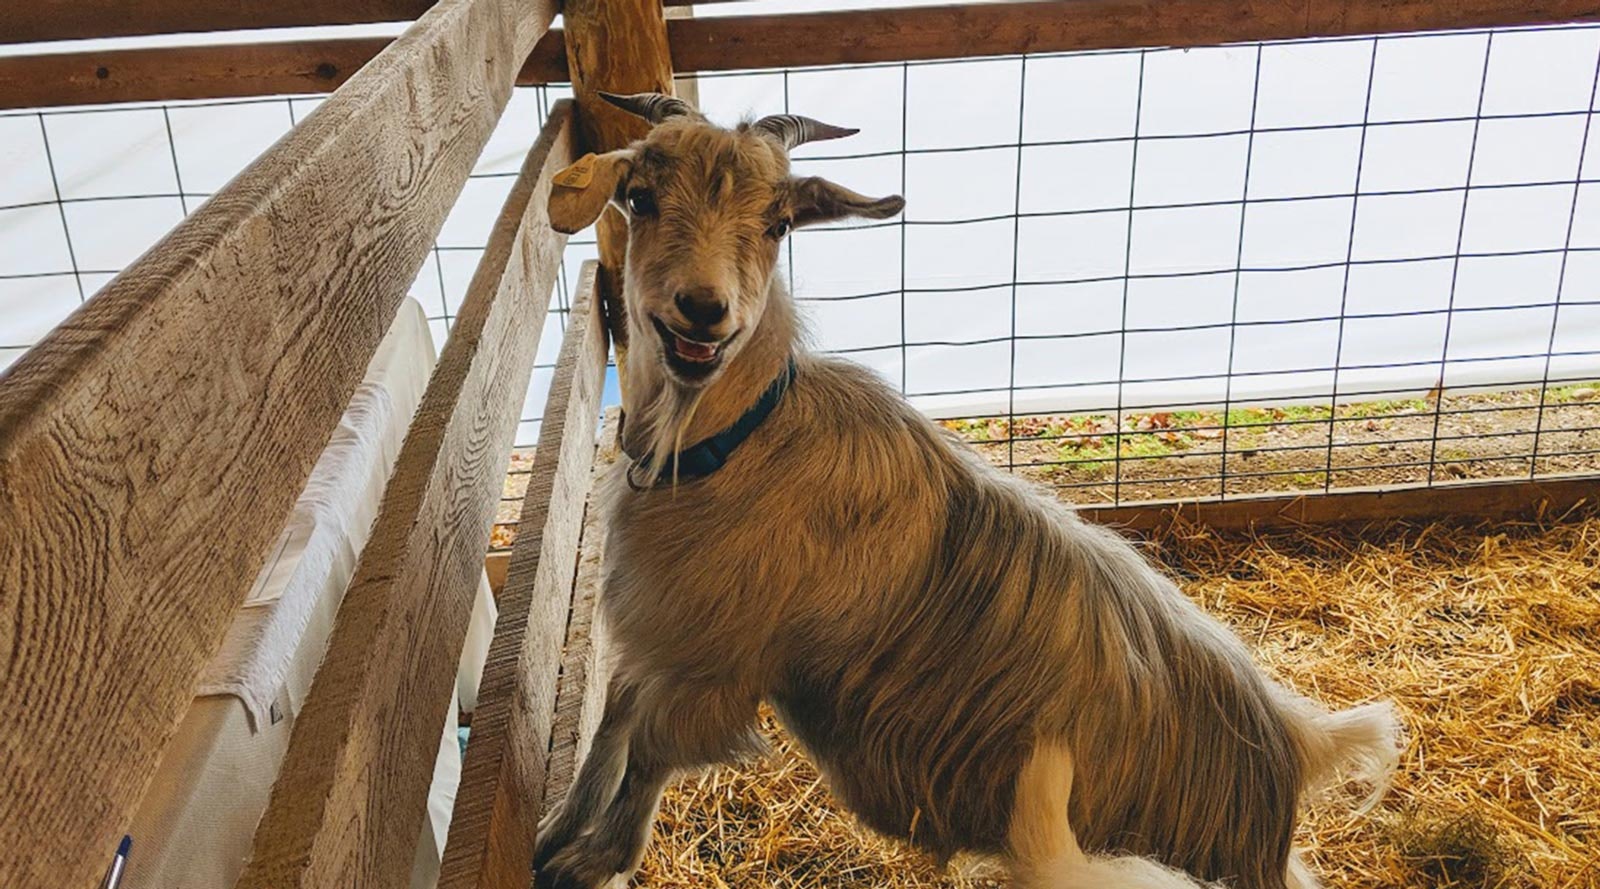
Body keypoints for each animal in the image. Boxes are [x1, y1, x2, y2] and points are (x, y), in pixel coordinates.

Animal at [532, 92, 1401, 889]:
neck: (736, 437)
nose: (704, 312)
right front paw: (554, 831)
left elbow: (646, 753)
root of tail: (1294, 745)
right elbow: (610, 729)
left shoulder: (715, 663)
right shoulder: (656, 635)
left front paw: (585, 861)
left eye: (778, 223)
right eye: (641, 197)